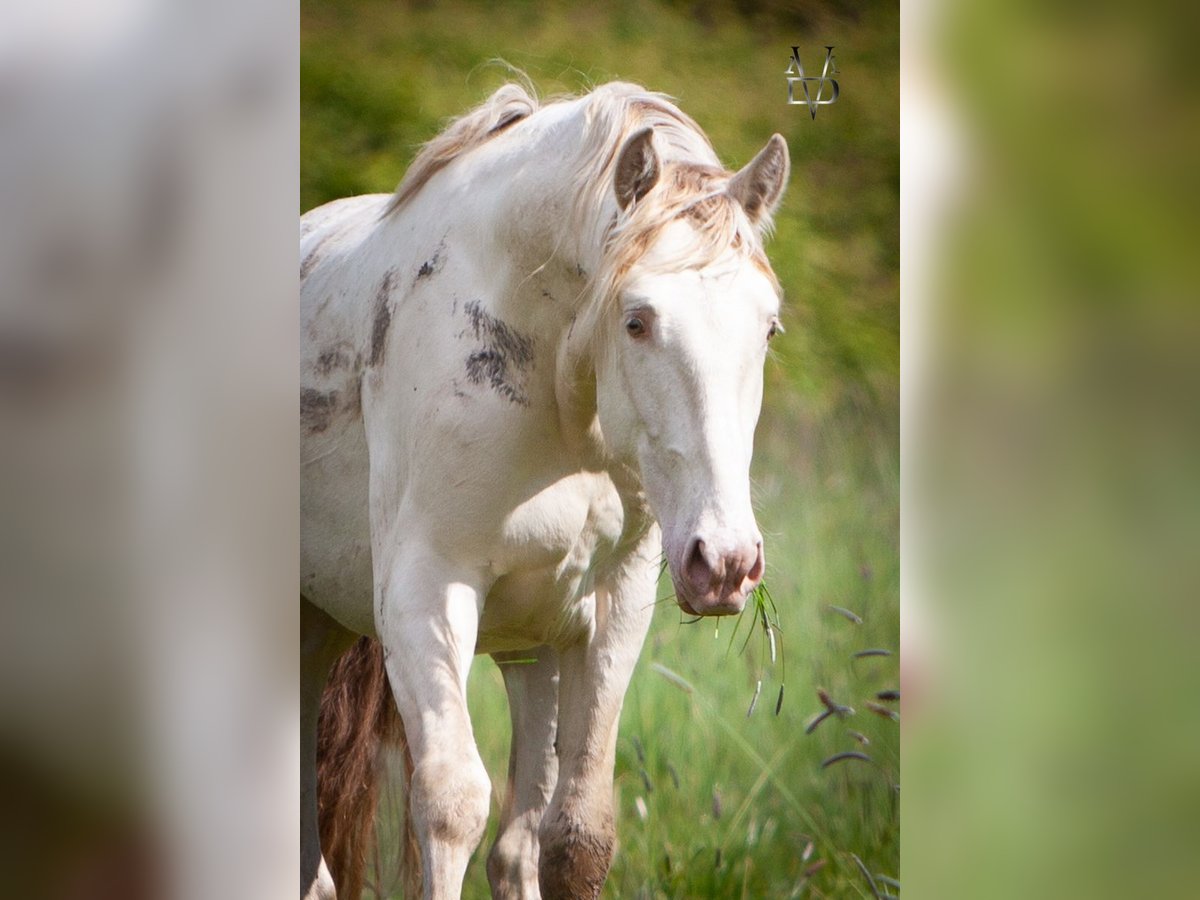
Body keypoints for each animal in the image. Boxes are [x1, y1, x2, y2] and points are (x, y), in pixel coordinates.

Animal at [300, 81, 787, 897]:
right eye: (637, 321)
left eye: (769, 329)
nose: (724, 562)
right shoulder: (424, 596)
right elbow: (452, 806)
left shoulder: (612, 610)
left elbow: (575, 836)